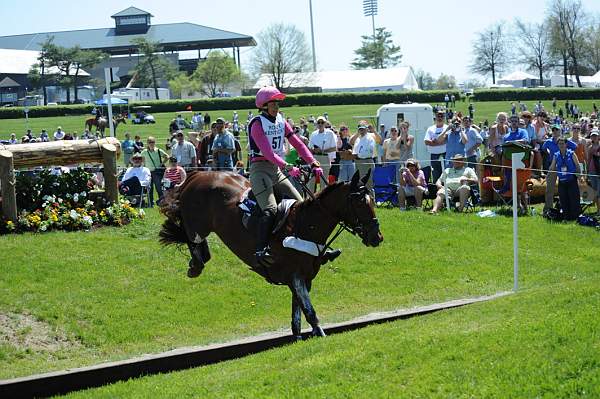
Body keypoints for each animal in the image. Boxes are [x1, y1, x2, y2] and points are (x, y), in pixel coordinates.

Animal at [159, 170, 382, 340]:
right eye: (359, 203)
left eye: (372, 200)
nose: (377, 236)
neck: (306, 226)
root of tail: (198, 174)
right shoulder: (295, 275)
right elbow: (309, 310)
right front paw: (320, 333)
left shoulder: (304, 278)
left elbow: (297, 313)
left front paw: (298, 337)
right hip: (197, 221)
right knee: (190, 234)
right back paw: (196, 264)